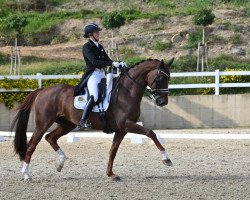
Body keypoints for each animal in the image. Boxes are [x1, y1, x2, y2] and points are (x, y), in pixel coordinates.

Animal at [11, 57, 174, 181]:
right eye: (160, 77)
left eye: (169, 78)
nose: (163, 102)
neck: (126, 92)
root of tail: (42, 90)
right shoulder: (127, 124)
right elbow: (151, 133)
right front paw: (166, 159)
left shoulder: (121, 130)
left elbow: (113, 151)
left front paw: (111, 174)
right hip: (43, 123)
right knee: (32, 145)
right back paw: (26, 175)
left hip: (67, 124)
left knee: (50, 137)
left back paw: (60, 163)